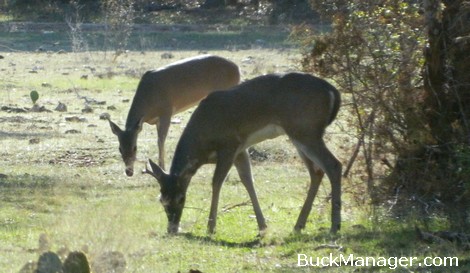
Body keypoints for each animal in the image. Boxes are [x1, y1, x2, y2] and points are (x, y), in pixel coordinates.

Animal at [109, 54, 241, 175]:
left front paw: (162, 168)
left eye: (135, 147)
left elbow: (161, 140)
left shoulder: (166, 111)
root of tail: (237, 69)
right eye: (120, 148)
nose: (129, 172)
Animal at [143, 71, 342, 234]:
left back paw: (334, 226)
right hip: (300, 135)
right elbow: (248, 180)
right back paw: (299, 225)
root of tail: (332, 91)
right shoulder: (241, 150)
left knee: (333, 164)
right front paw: (262, 226)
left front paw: (211, 226)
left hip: (305, 130)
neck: (202, 139)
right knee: (317, 172)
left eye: (181, 198)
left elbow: (216, 182)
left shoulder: (229, 145)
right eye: (162, 200)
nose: (172, 228)